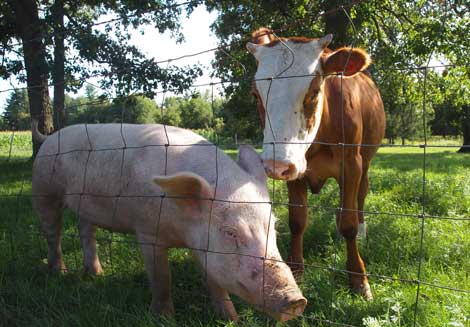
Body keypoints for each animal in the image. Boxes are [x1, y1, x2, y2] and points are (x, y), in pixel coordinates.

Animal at [31, 122, 306, 322]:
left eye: (274, 226)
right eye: (230, 232)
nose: (296, 301)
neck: (181, 231)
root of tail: (49, 137)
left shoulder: (202, 245)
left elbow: (215, 282)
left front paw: (231, 319)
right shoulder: (147, 232)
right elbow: (162, 277)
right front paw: (163, 318)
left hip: (85, 205)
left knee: (85, 229)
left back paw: (96, 274)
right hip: (44, 189)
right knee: (52, 232)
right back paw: (59, 272)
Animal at [246, 27, 386, 300]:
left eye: (313, 92)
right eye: (256, 95)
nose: (274, 164)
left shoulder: (351, 165)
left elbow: (348, 224)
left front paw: (359, 280)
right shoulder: (294, 168)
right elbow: (297, 221)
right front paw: (296, 271)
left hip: (365, 162)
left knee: (360, 196)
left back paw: (363, 229)